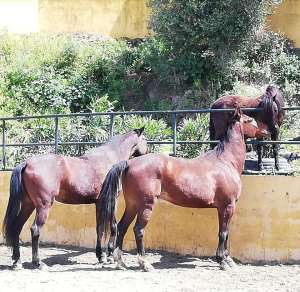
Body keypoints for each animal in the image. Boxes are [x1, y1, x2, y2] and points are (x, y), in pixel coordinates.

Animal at [2, 128, 148, 270]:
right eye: (145, 140)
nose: (148, 152)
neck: (109, 158)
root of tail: (26, 163)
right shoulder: (111, 201)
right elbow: (113, 226)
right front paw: (110, 255)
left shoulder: (98, 203)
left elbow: (99, 228)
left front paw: (101, 256)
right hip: (43, 206)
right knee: (35, 230)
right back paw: (38, 263)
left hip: (28, 205)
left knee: (17, 227)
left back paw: (17, 261)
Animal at [98, 109, 270, 272]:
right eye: (249, 120)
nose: (267, 131)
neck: (226, 161)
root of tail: (129, 163)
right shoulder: (227, 206)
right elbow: (223, 233)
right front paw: (222, 261)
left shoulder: (224, 209)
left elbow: (226, 234)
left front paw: (228, 260)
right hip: (146, 205)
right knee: (138, 230)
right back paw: (145, 264)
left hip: (133, 205)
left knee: (122, 227)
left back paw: (120, 262)